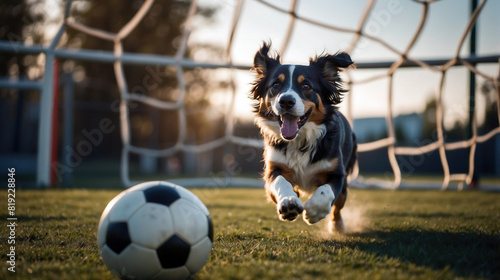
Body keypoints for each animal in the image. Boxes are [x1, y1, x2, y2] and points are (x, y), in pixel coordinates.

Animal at [249, 42, 356, 233]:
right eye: (275, 85)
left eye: (306, 86)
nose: (286, 101)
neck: (300, 139)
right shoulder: (274, 167)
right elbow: (280, 182)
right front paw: (289, 202)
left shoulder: (337, 173)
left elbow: (326, 191)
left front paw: (314, 210)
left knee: (338, 205)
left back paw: (337, 226)